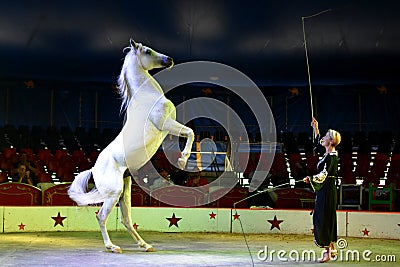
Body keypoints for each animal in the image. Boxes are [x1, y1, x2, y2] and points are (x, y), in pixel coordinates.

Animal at [68, 38, 195, 254]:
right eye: (147, 51)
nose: (169, 60)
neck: (148, 97)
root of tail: (94, 168)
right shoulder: (165, 124)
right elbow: (190, 132)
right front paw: (182, 160)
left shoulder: (167, 130)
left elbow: (188, 134)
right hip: (114, 193)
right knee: (101, 216)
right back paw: (112, 247)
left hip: (124, 192)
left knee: (126, 219)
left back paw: (145, 245)